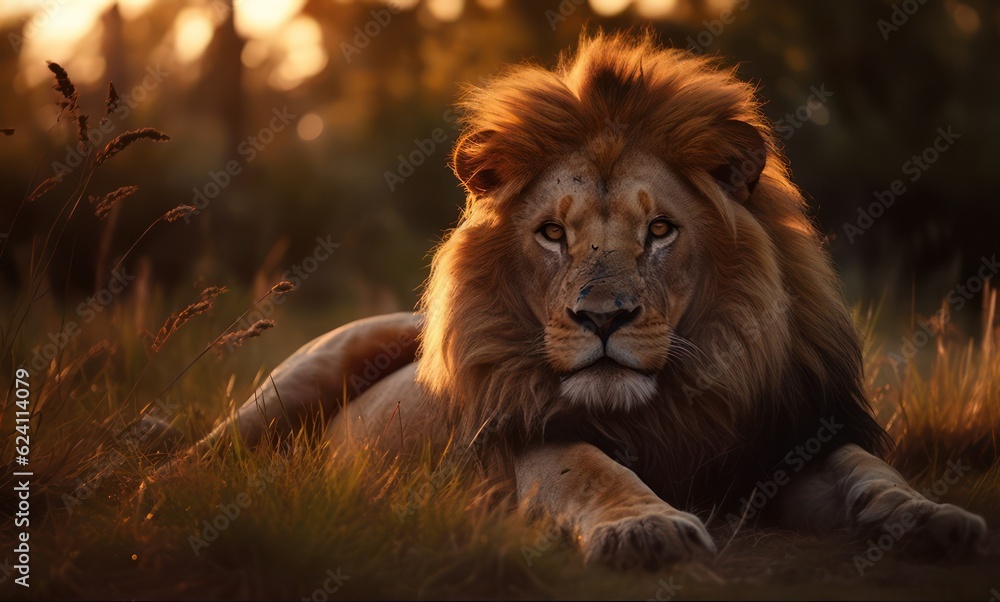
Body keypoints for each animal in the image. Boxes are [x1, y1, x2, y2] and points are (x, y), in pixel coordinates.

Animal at [177, 32, 986, 569]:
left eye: (659, 230)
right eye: (552, 233)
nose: (603, 318)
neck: (671, 406)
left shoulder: (783, 441)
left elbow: (866, 468)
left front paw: (931, 518)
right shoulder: (530, 438)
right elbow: (590, 467)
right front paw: (646, 528)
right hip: (304, 375)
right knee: (200, 458)